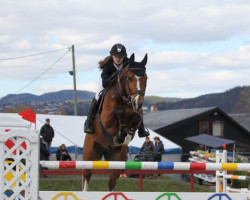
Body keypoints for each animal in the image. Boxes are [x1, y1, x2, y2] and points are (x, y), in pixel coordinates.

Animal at [83, 53, 147, 191]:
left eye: (146, 78)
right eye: (129, 78)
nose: (138, 103)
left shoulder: (138, 114)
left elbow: (136, 118)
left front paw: (127, 134)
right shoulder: (106, 119)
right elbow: (119, 111)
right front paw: (122, 134)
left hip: (117, 160)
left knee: (112, 181)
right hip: (90, 156)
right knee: (86, 175)